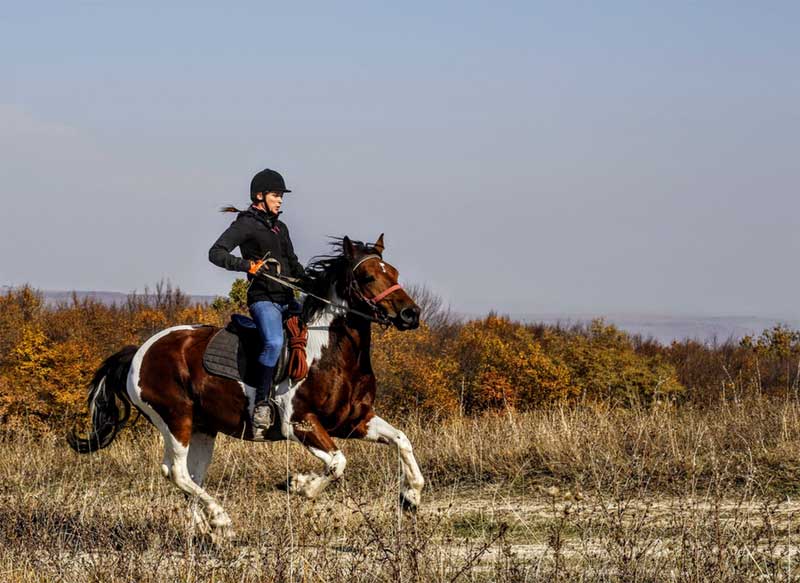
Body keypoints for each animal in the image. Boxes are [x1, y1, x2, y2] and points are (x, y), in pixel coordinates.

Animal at [67, 235, 424, 540]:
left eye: (393, 272)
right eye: (367, 277)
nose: (411, 314)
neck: (330, 352)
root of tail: (140, 351)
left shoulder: (355, 421)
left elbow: (402, 440)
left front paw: (411, 496)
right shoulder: (301, 423)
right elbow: (338, 463)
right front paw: (299, 485)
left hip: (203, 428)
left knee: (191, 476)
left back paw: (206, 529)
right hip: (175, 419)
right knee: (176, 472)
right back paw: (221, 521)